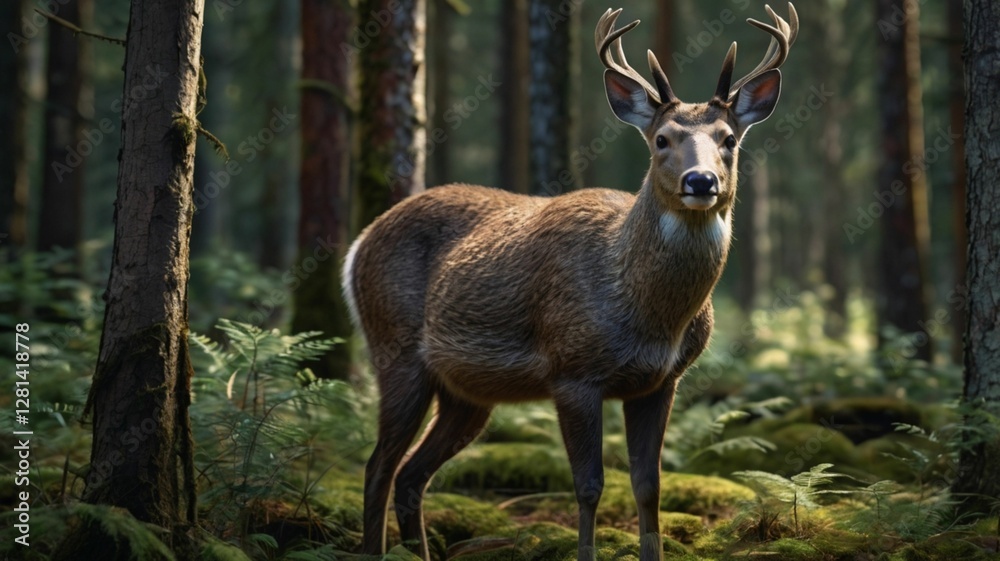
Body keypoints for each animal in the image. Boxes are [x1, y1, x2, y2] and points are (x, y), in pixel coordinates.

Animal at [342, 4, 797, 560]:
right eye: (662, 139)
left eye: (728, 140)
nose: (700, 181)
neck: (650, 316)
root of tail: (358, 244)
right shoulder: (572, 370)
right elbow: (589, 485)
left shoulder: (662, 381)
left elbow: (649, 485)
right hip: (395, 348)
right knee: (377, 467)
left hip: (467, 392)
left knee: (410, 475)